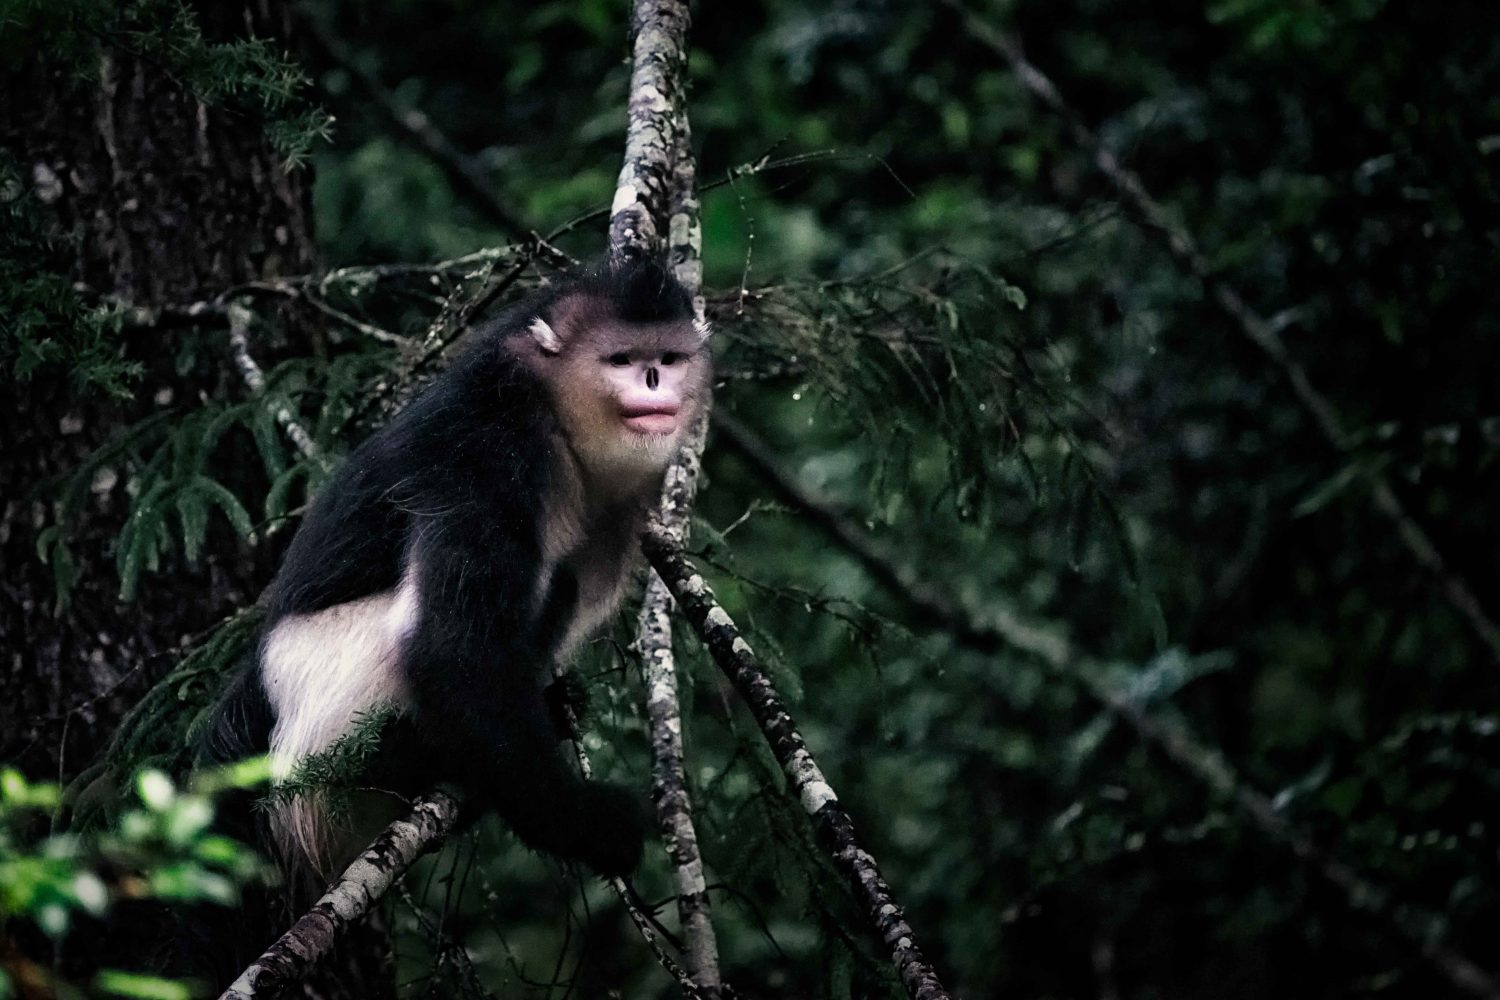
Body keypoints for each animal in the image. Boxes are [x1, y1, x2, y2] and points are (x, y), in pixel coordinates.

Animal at [200, 257, 711, 880]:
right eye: (621, 360)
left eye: (668, 358)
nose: (655, 380)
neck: (552, 409)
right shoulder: (491, 455)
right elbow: (451, 654)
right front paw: (589, 825)